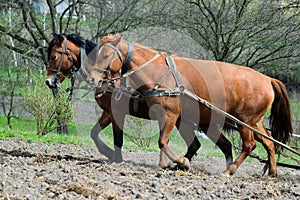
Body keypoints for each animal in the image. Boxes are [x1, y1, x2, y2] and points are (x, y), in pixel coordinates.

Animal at [45, 33, 234, 169]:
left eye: (54, 57)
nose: (48, 81)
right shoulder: (108, 112)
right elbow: (94, 133)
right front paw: (108, 153)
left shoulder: (117, 112)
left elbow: (118, 139)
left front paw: (116, 158)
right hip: (188, 122)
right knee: (208, 145)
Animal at [90, 34, 294, 177]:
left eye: (106, 55)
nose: (93, 79)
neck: (158, 73)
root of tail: (266, 79)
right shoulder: (163, 115)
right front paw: (171, 164)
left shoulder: (170, 114)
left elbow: (161, 141)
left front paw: (180, 161)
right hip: (253, 123)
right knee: (268, 143)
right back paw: (272, 172)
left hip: (244, 122)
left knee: (249, 145)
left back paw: (229, 170)